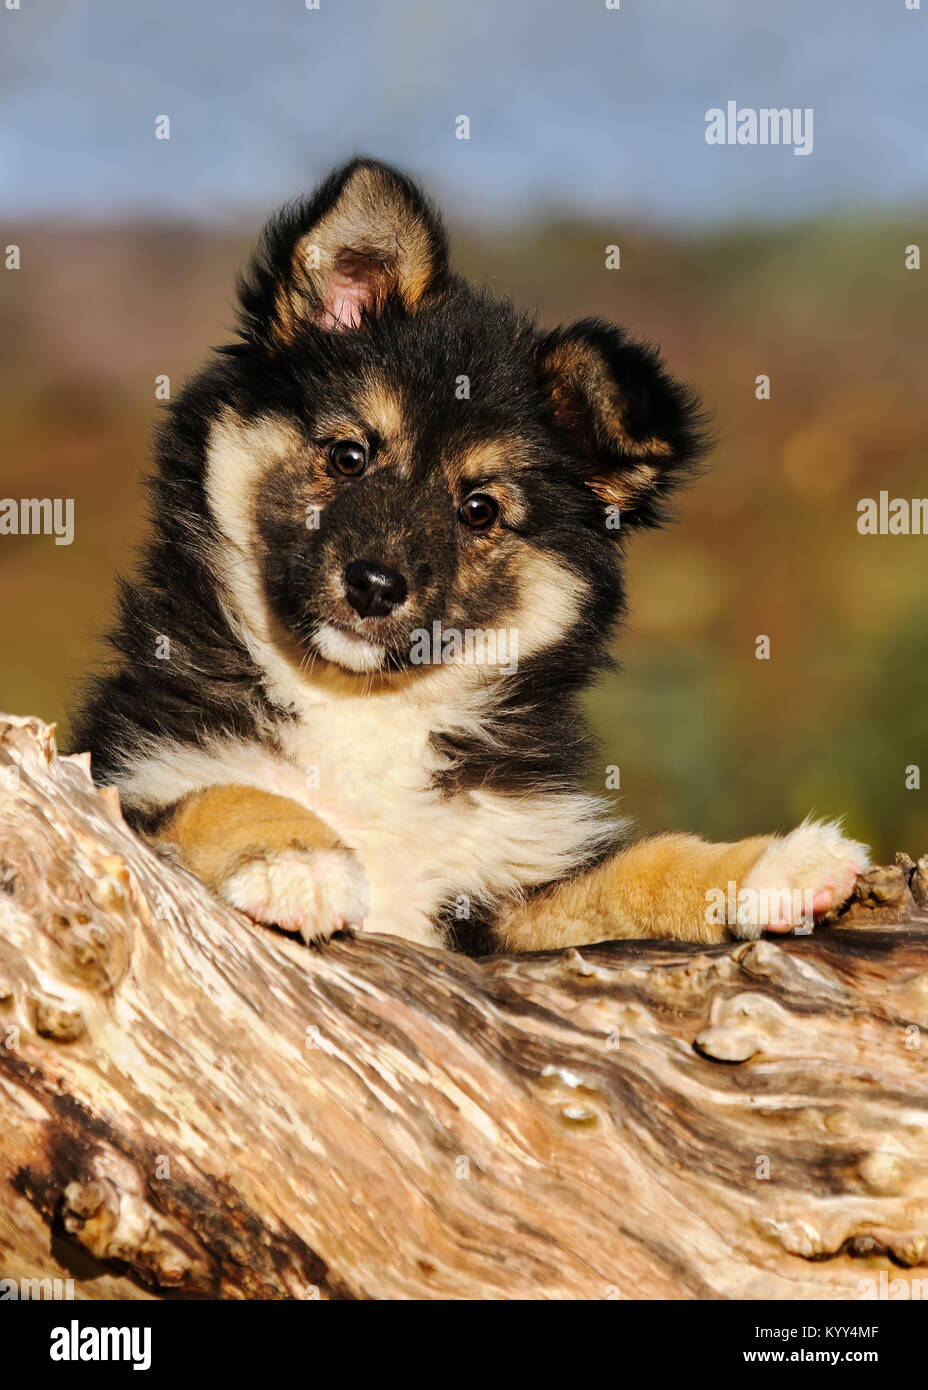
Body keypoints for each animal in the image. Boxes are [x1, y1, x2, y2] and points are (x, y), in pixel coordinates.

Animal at [70, 157, 872, 950]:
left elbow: (637, 866)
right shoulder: (130, 781)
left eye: (479, 509)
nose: (373, 585)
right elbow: (220, 792)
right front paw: (297, 857)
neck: (364, 706)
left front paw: (772, 864)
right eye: (349, 455)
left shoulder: (507, 893)